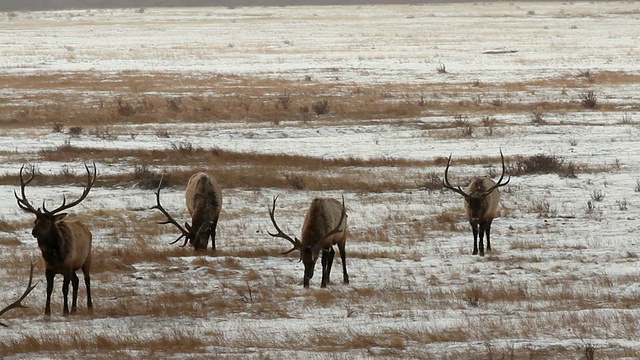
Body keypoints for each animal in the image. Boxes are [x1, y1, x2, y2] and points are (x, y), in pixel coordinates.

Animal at [13, 163, 95, 316]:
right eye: (35, 221)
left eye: (47, 223)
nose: (33, 232)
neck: (56, 257)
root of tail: (86, 228)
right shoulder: (48, 269)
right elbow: (49, 290)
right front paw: (47, 313)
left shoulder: (68, 266)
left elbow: (64, 289)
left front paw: (65, 311)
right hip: (74, 267)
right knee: (76, 281)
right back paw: (74, 308)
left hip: (87, 258)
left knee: (86, 279)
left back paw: (89, 306)